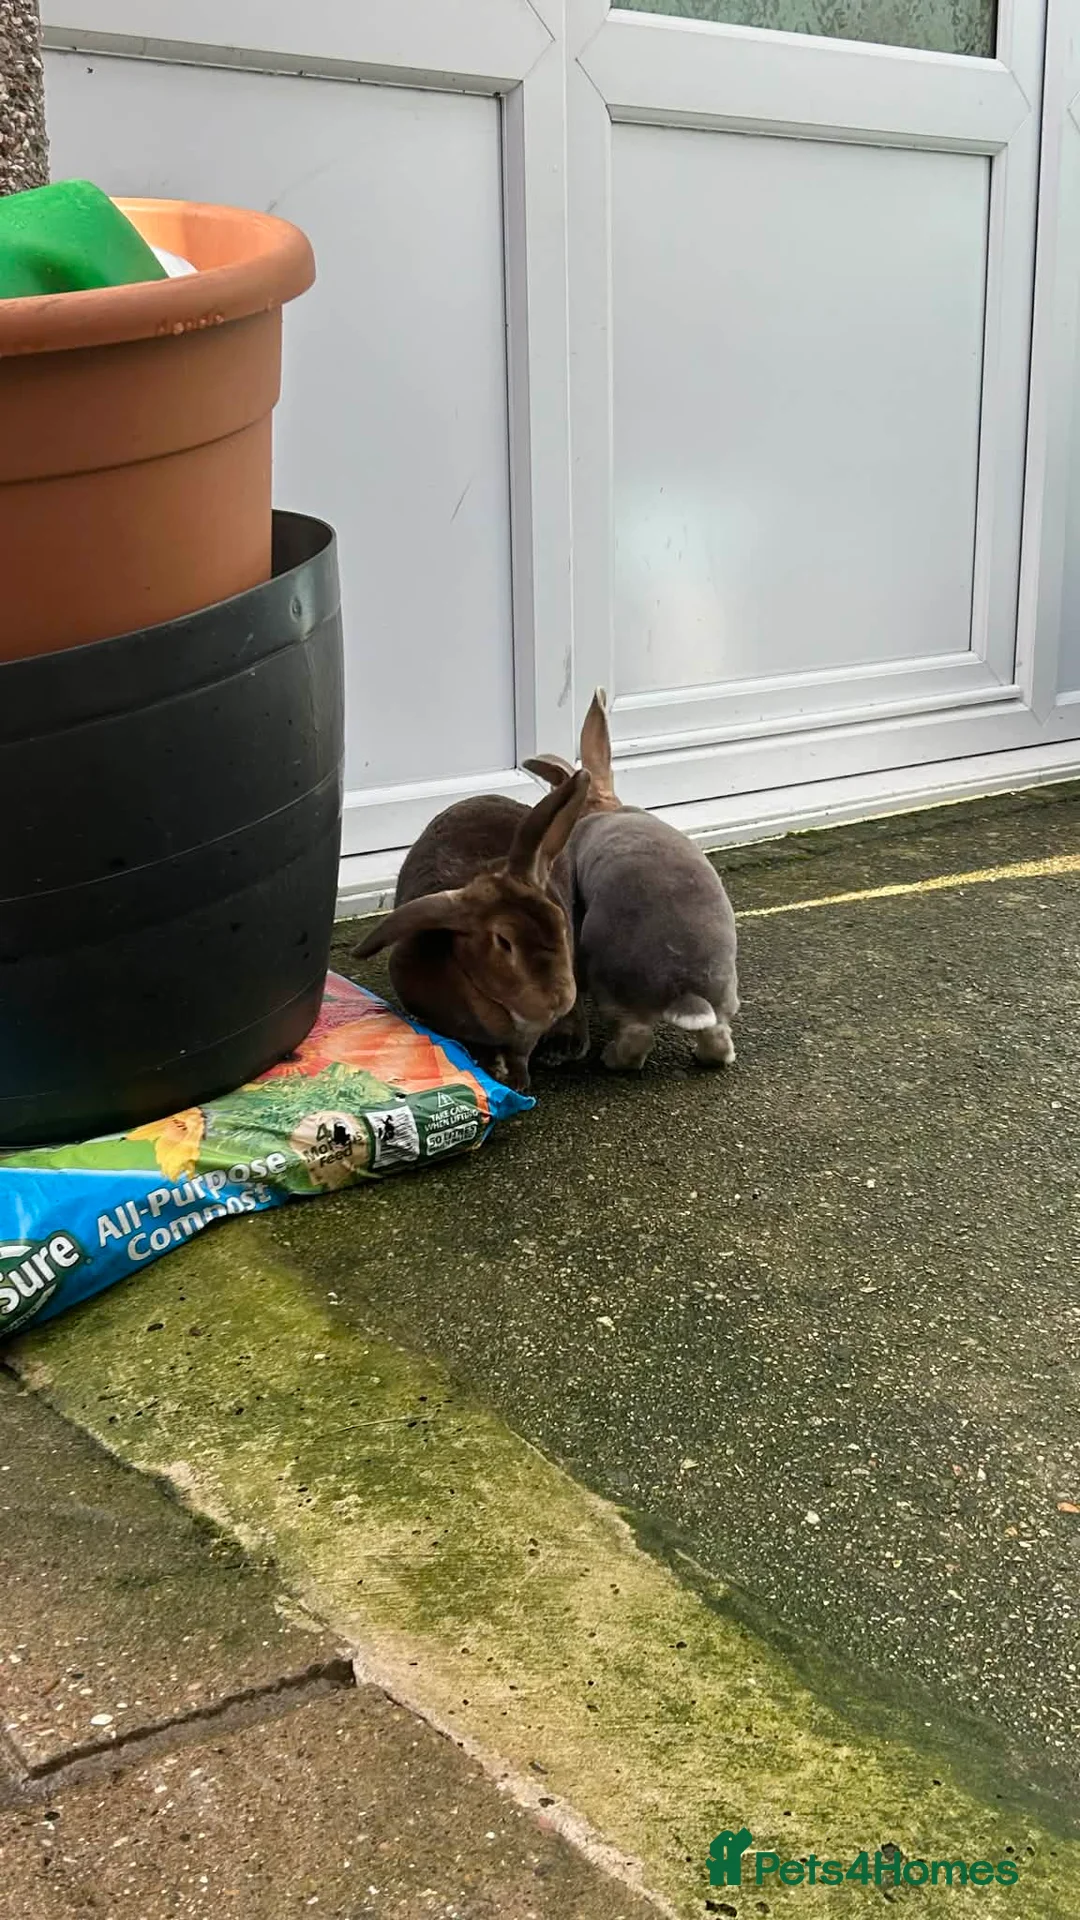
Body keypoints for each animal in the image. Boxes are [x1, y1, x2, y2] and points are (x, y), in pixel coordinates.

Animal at [523, 690, 738, 1072]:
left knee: (636, 1037)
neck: (601, 808)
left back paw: (612, 1060)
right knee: (717, 1035)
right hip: (722, 997)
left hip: (614, 987)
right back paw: (712, 1057)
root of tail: (685, 988)